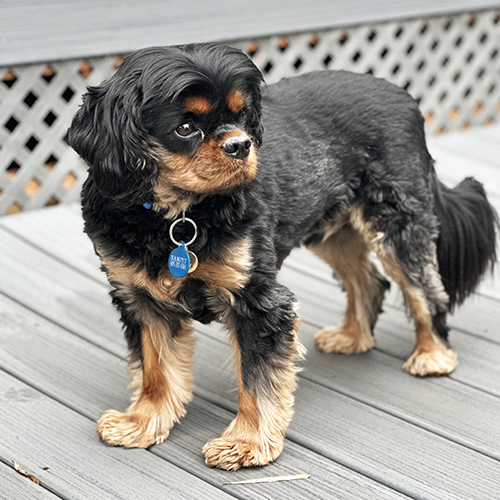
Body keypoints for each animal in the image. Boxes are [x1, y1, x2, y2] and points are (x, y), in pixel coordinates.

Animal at [68, 43, 498, 470]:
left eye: (243, 116)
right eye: (185, 128)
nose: (241, 144)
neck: (175, 217)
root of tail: (404, 95)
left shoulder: (258, 303)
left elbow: (255, 381)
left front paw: (245, 443)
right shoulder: (142, 300)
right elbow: (155, 369)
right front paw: (142, 422)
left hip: (396, 220)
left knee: (424, 289)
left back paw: (432, 354)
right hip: (333, 228)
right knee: (370, 281)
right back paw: (352, 337)